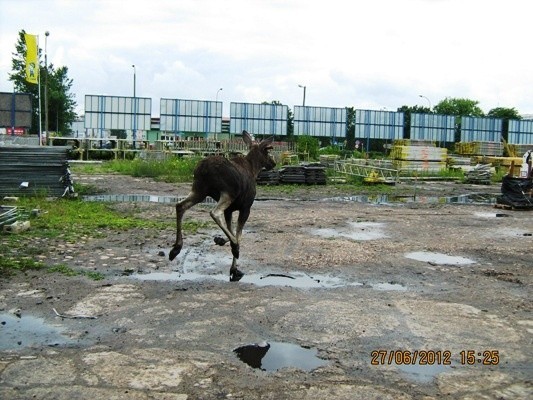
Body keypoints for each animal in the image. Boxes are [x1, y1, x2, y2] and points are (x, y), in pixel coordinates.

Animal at [169, 131, 278, 282]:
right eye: (267, 151)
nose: (273, 163)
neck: (253, 170)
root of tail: (204, 168)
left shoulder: (230, 210)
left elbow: (231, 230)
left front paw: (221, 241)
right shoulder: (245, 208)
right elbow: (238, 234)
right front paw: (234, 265)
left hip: (199, 190)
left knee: (180, 206)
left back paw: (176, 248)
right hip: (228, 192)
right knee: (214, 213)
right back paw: (235, 247)